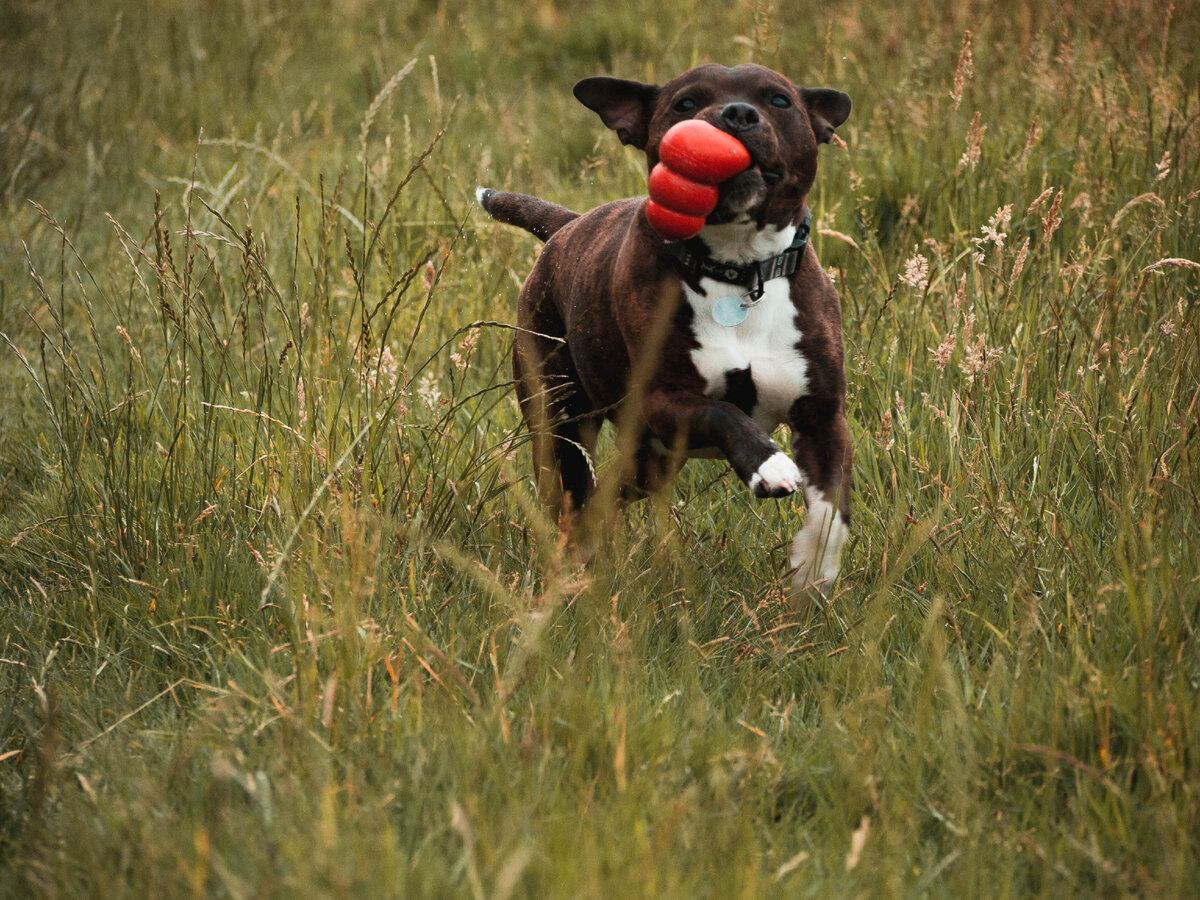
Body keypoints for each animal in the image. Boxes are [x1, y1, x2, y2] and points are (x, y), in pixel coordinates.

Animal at [477, 60, 854, 602]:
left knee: (609, 494)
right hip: (560, 421)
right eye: (686, 102)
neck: (737, 270)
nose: (738, 113)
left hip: (649, 461)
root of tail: (568, 226)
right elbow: (723, 411)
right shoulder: (660, 400)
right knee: (573, 496)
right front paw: (769, 464)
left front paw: (810, 571)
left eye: (779, 100)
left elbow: (831, 510)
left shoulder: (824, 416)